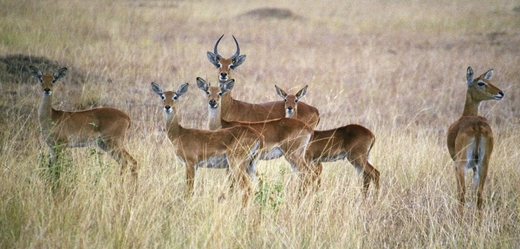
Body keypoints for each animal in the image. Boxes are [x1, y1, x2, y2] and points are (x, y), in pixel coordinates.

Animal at [446, 66, 504, 214]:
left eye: (487, 81)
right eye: (481, 83)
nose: (501, 93)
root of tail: (477, 127)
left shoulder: (456, 164)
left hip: (463, 165)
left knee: (462, 194)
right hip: (483, 164)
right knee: (479, 195)